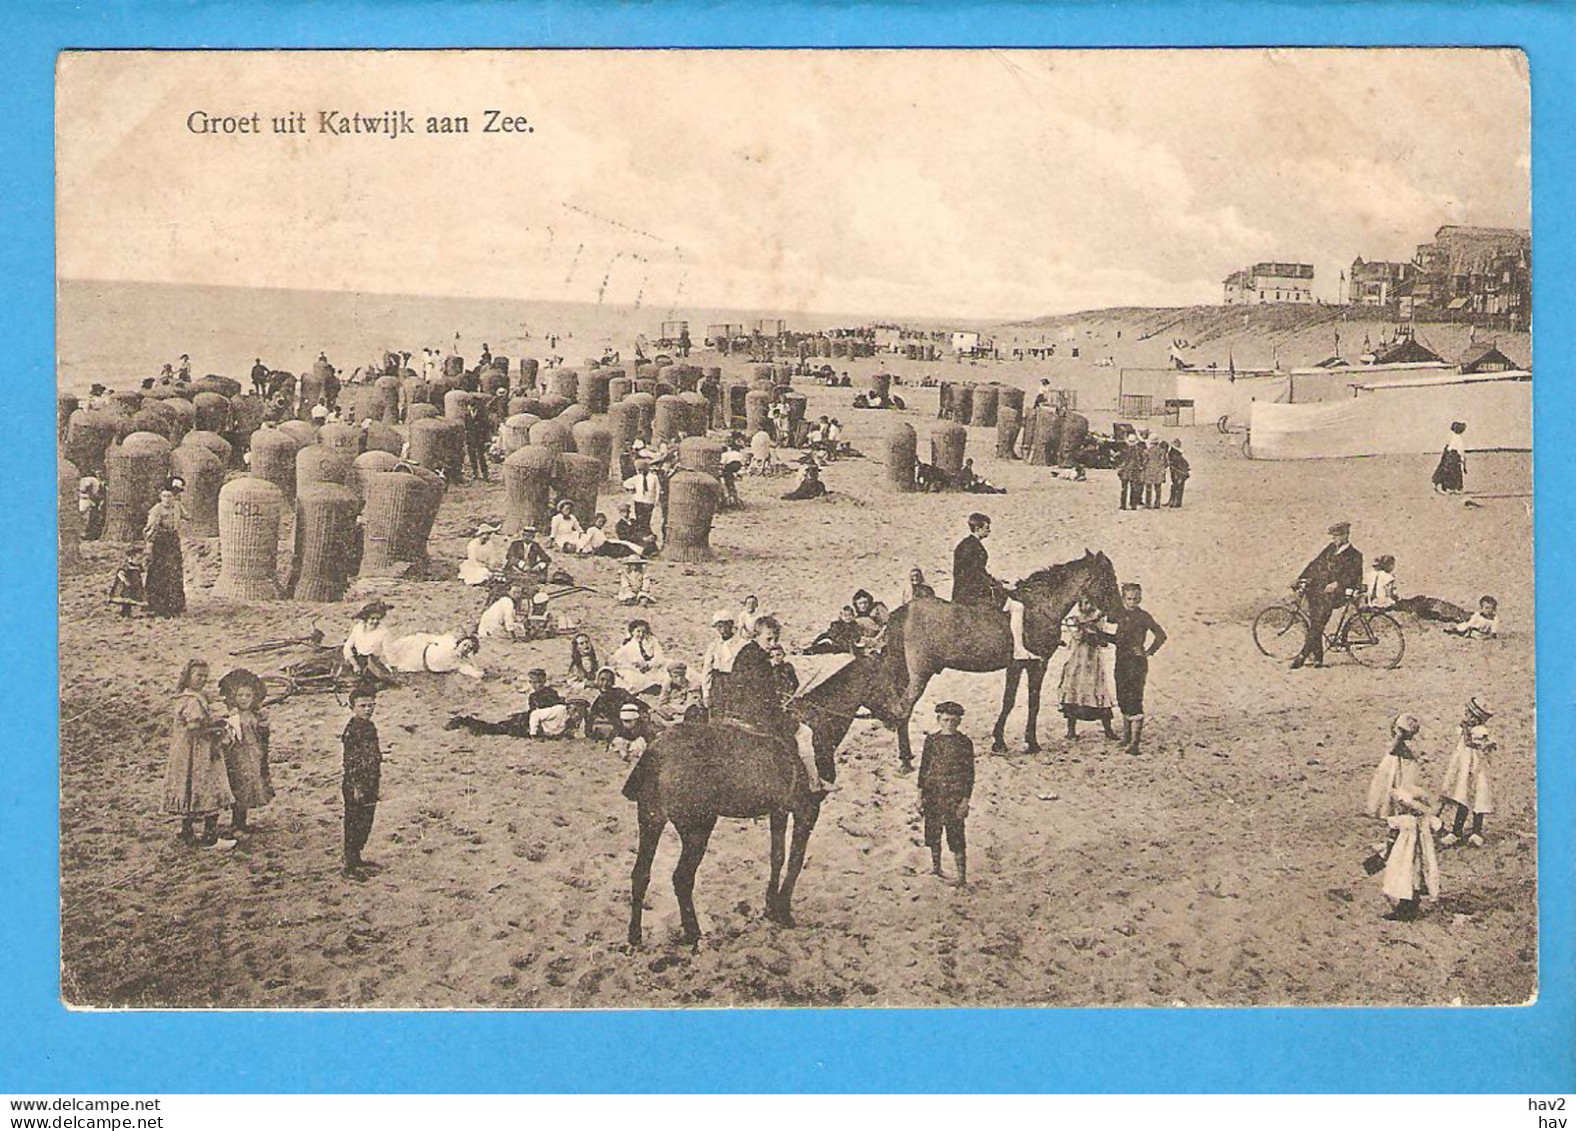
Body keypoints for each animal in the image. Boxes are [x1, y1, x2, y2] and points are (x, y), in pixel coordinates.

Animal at [624, 652, 901, 951]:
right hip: (697, 828)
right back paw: (693, 934)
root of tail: (657, 751)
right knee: (681, 878)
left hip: (651, 821)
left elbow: (777, 856)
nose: (900, 713)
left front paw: (770, 908)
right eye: (884, 678)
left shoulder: (779, 811)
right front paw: (785, 911)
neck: (818, 728)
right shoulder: (807, 810)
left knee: (640, 875)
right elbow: (795, 860)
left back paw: (635, 937)